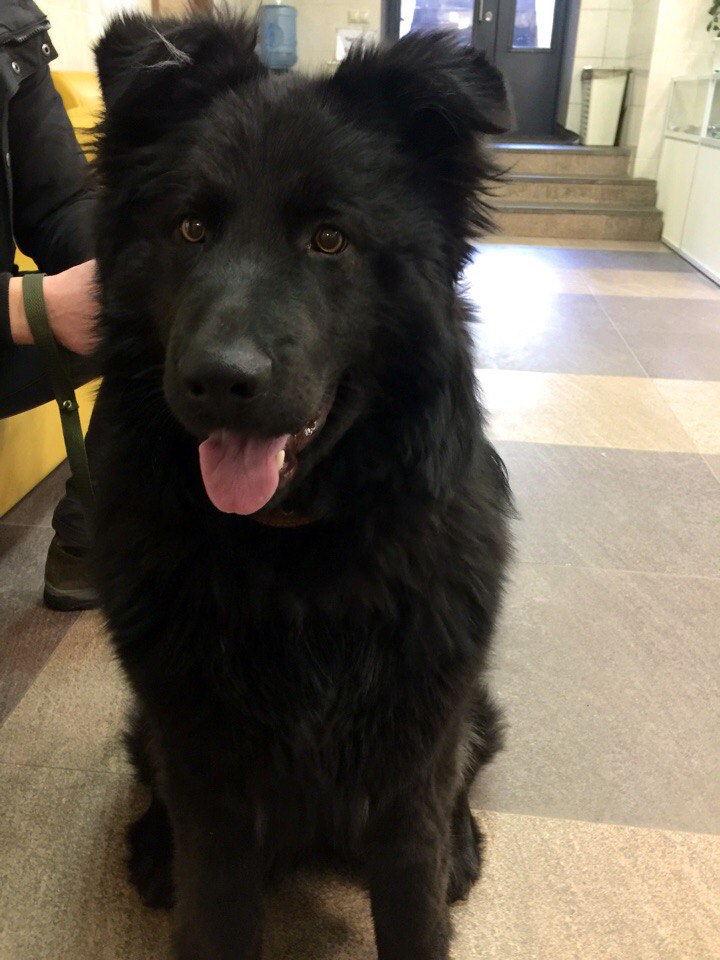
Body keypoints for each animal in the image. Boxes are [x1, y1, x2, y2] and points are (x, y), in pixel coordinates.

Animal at [91, 13, 512, 959]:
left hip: (466, 714)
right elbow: (213, 911)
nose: (219, 380)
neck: (297, 567)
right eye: (190, 229)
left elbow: (416, 910)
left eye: (329, 240)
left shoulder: (408, 783)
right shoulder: (210, 788)